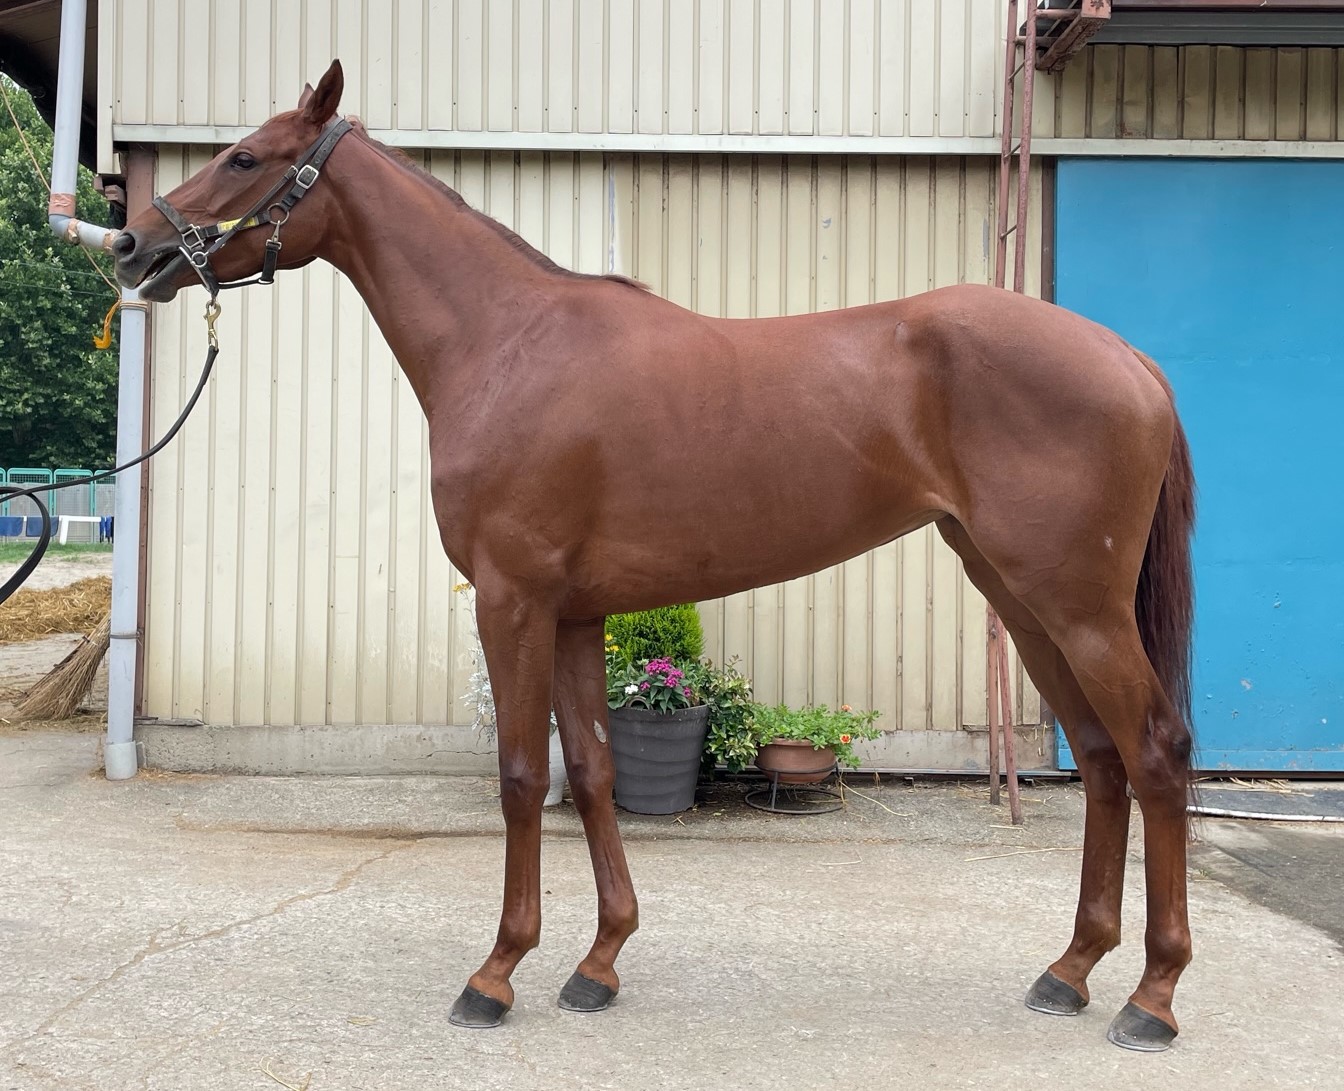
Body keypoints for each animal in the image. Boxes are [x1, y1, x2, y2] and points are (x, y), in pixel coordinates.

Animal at [112, 60, 1197, 1053]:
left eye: (245, 156)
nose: (134, 244)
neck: (507, 344)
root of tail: (1132, 360)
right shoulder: (575, 611)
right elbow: (591, 768)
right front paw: (598, 962)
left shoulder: (510, 598)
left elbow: (521, 772)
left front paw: (496, 973)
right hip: (1021, 594)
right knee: (1102, 756)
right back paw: (1069, 970)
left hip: (1077, 603)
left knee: (1153, 750)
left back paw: (1151, 997)